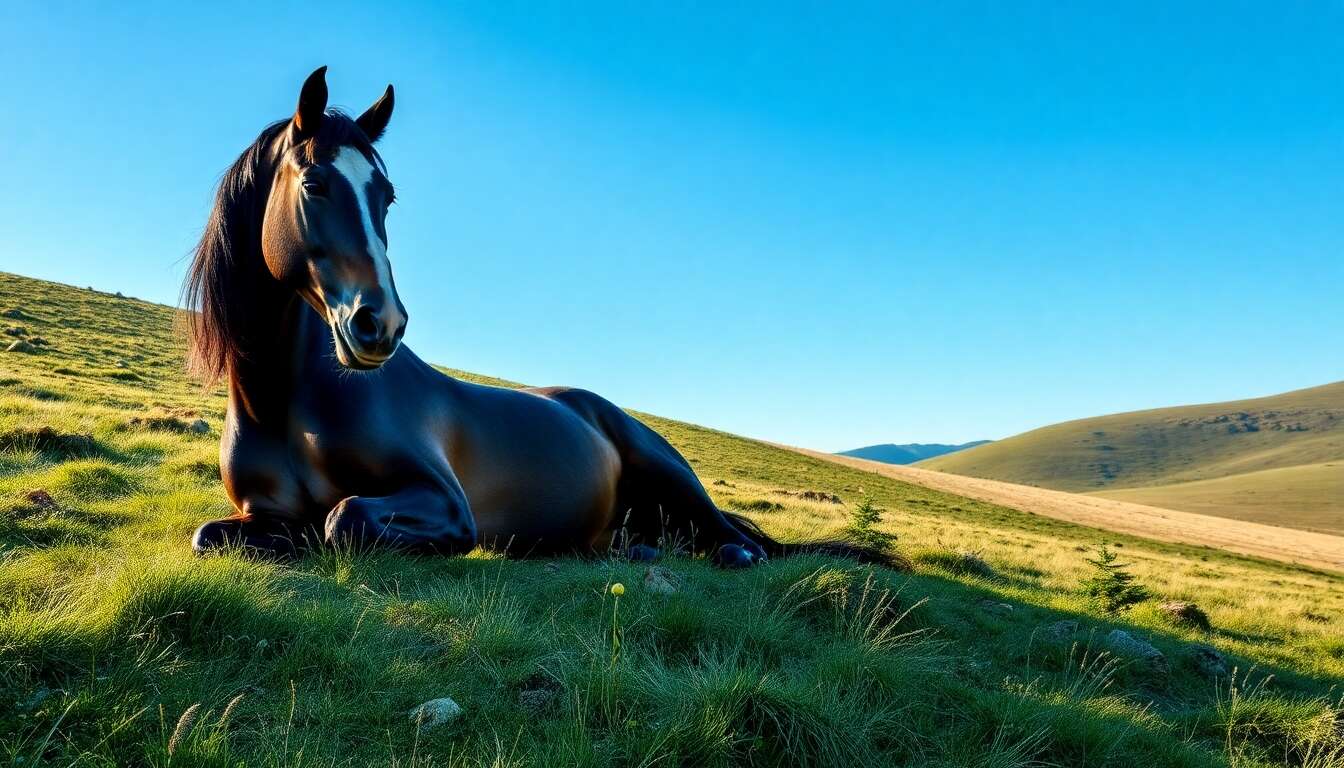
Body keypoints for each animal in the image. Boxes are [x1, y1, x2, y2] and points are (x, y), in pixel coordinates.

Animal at [186, 67, 884, 569]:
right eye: (314, 185)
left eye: (387, 198)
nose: (380, 325)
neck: (285, 399)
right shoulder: (254, 513)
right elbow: (212, 534)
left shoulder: (446, 502)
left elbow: (343, 518)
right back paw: (637, 548)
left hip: (669, 471)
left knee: (741, 541)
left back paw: (733, 553)